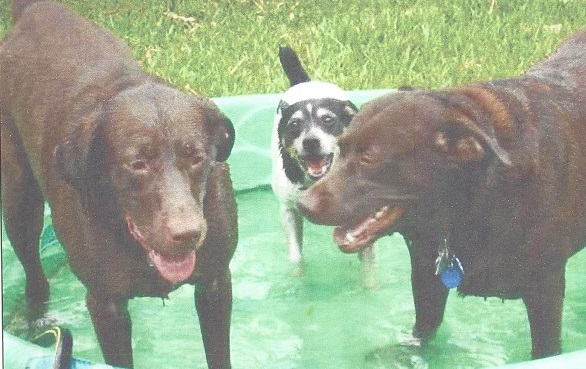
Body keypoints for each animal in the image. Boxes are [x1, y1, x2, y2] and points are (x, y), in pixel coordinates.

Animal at [1, 1, 237, 366]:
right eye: (137, 164)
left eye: (196, 157)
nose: (187, 234)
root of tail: (34, 12)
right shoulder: (105, 305)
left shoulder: (215, 282)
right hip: (19, 202)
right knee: (34, 276)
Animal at [270, 46, 374, 288]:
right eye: (294, 124)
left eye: (328, 120)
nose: (311, 142)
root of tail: (306, 83)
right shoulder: (289, 211)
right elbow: (296, 258)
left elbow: (366, 257)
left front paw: (369, 287)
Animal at [298, 30, 584, 358]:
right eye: (341, 149)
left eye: (369, 158)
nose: (303, 204)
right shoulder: (425, 275)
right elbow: (423, 330)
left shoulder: (545, 288)